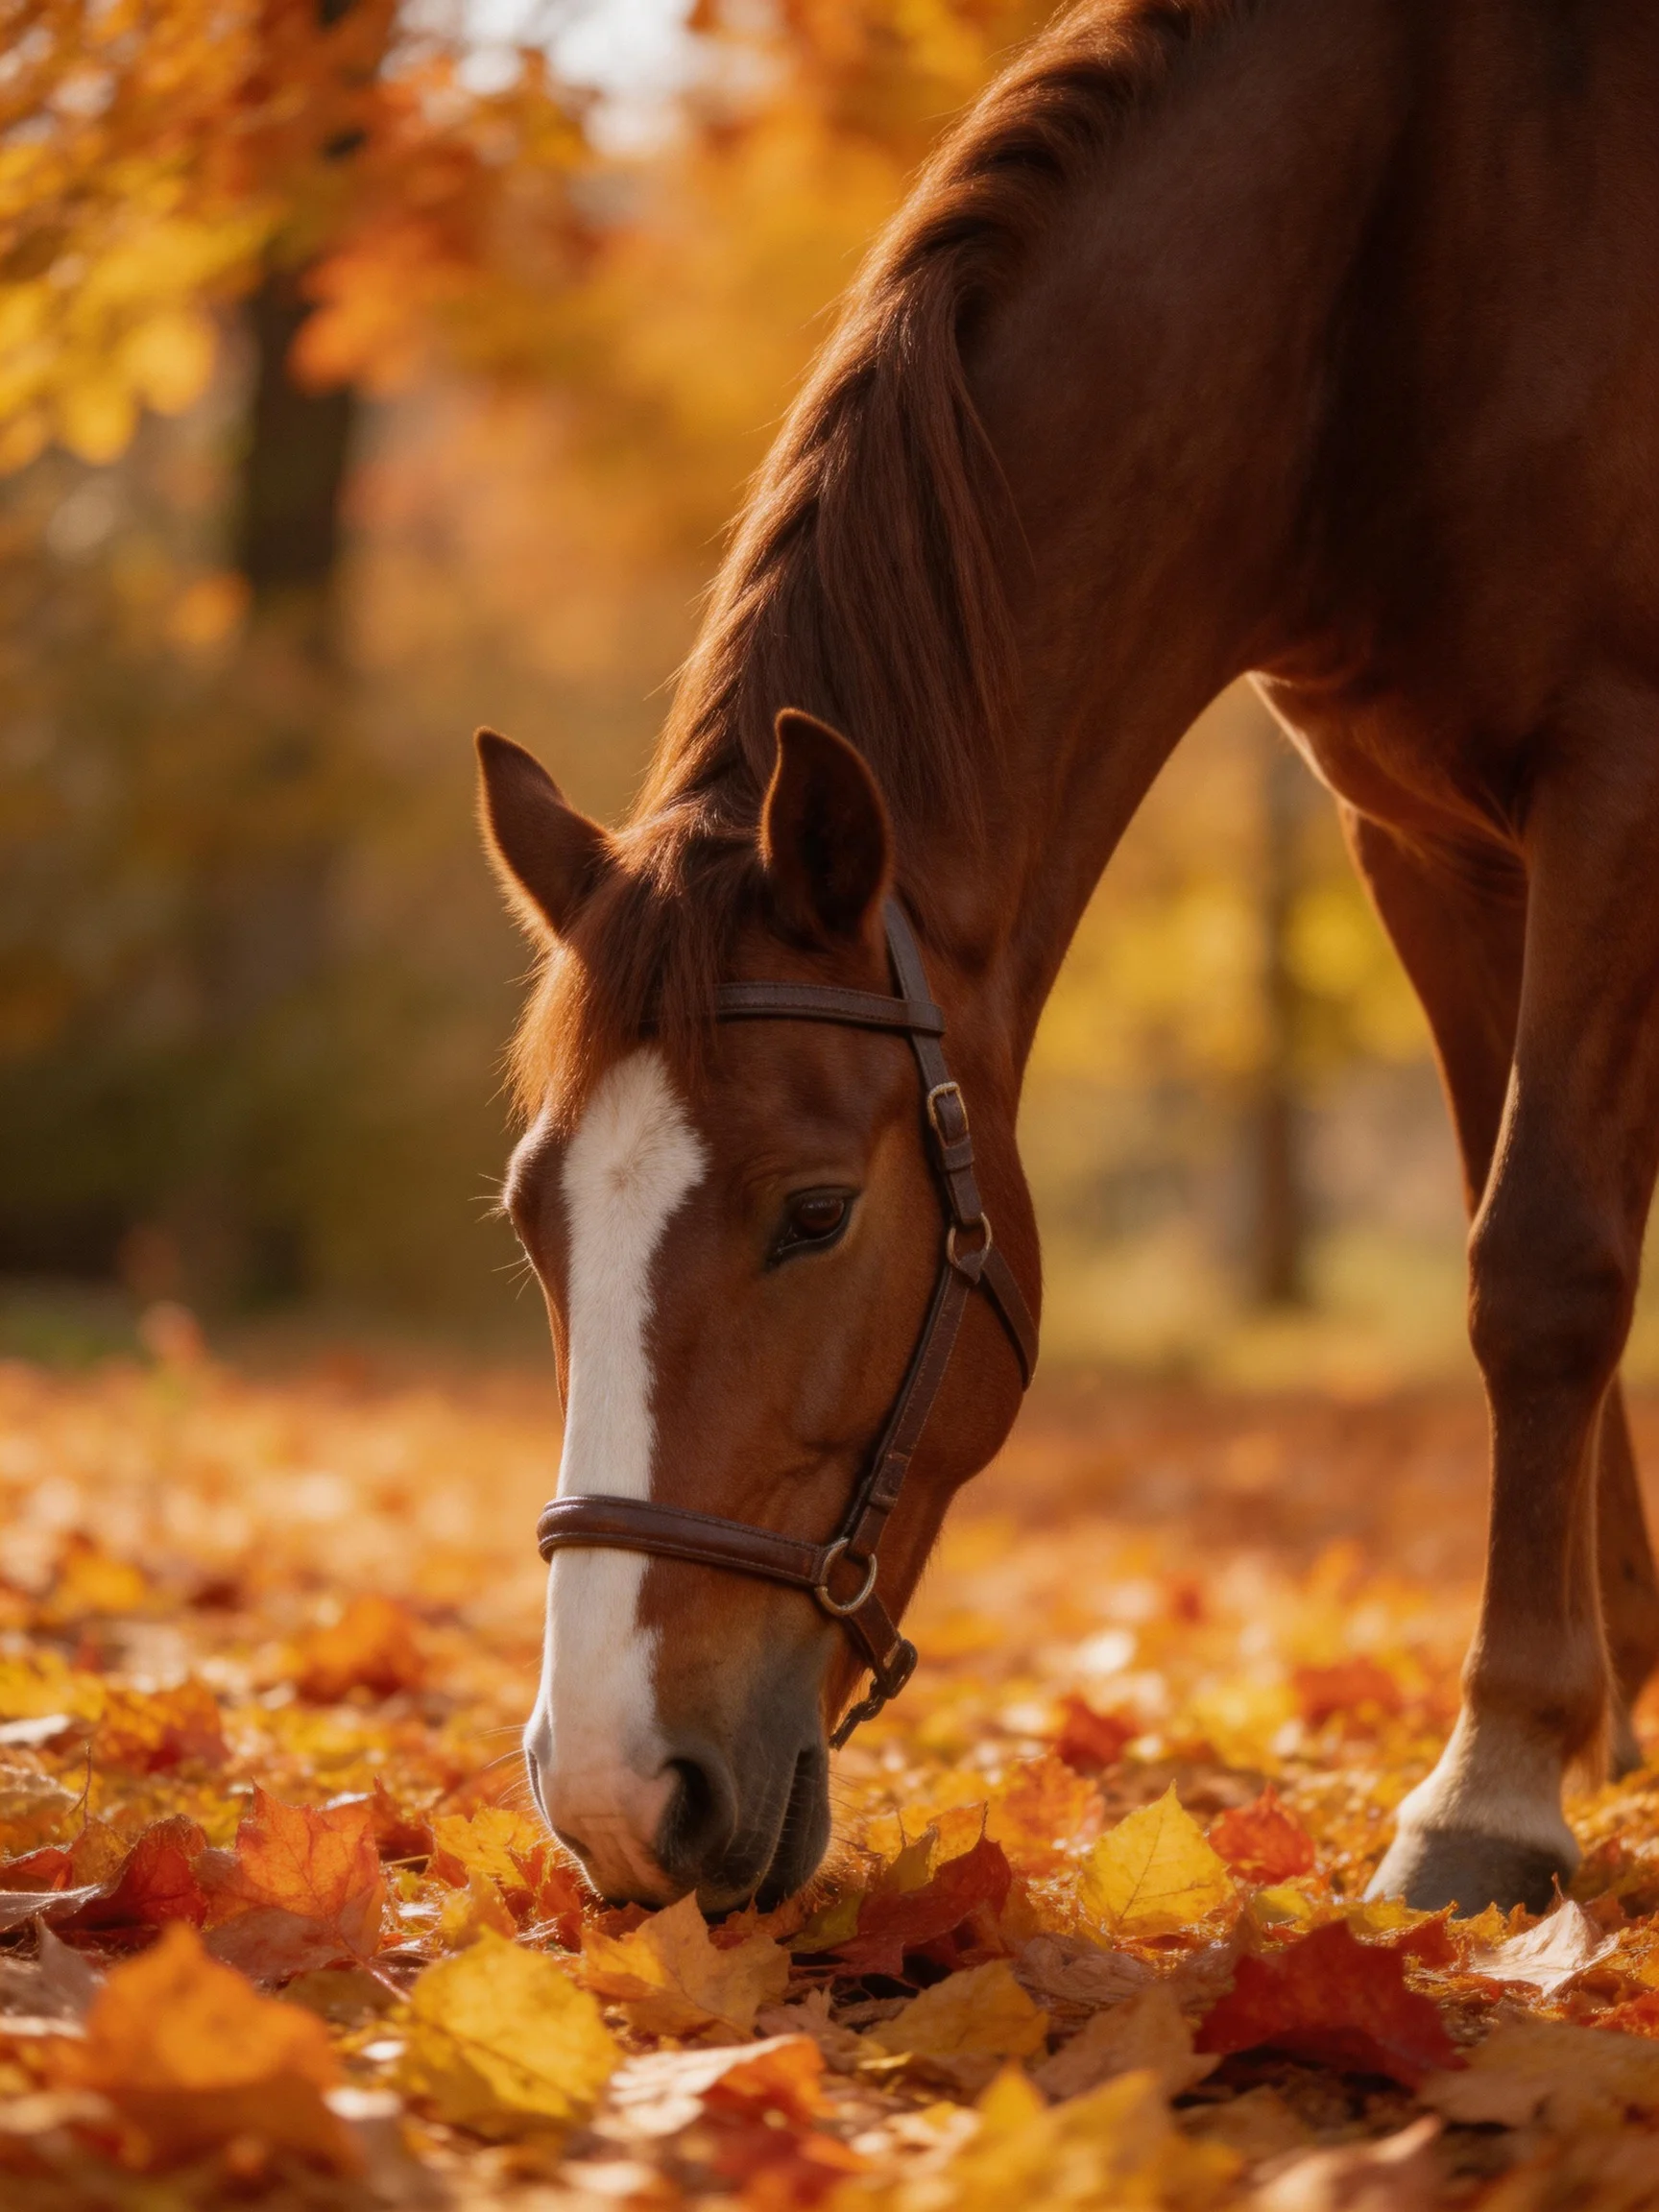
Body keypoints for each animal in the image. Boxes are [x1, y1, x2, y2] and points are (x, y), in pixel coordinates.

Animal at [478, 0, 1659, 1919]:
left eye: (816, 1213)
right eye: (534, 1221)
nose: (609, 1796)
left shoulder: (1615, 775)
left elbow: (1543, 1267)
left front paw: (1491, 1783)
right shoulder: (1427, 841)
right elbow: (1552, 1250)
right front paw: (1597, 1721)